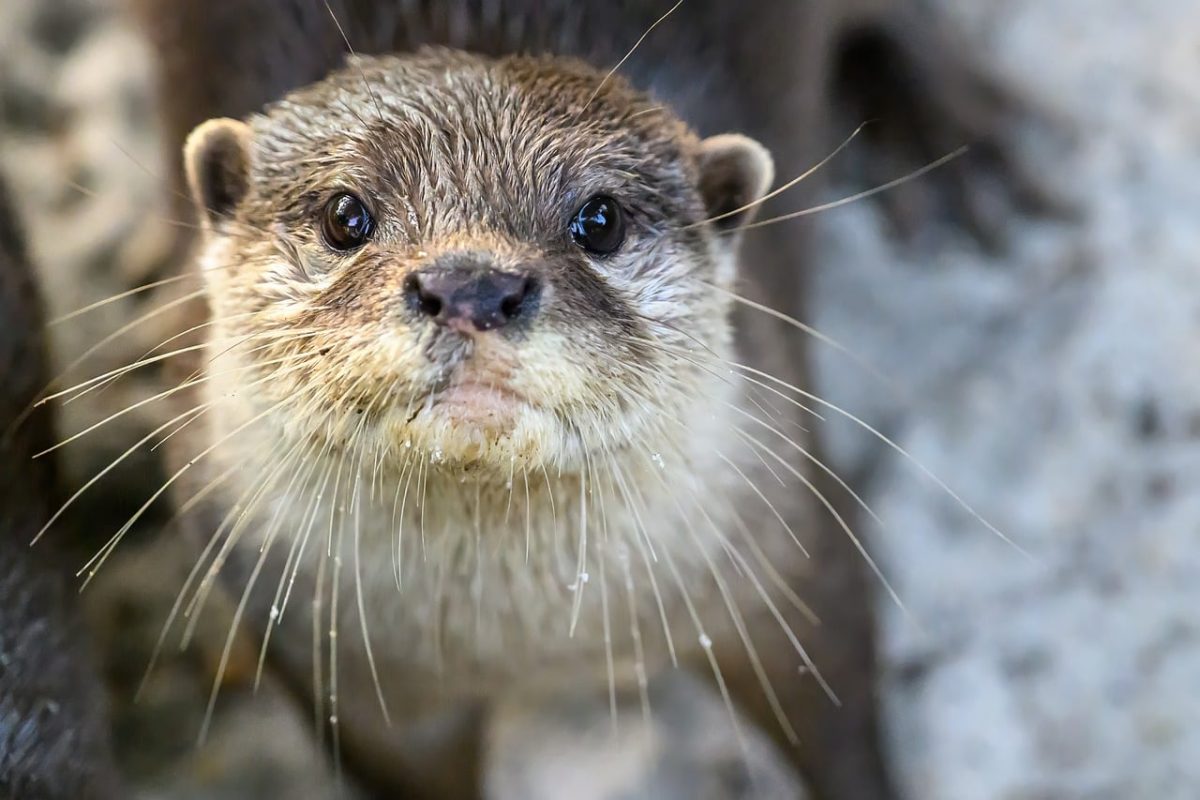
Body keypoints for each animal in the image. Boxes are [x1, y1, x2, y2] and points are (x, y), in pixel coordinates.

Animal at [117, 1, 1029, 797]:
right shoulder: (349, 683)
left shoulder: (795, 547)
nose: (472, 283)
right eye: (347, 215)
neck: (533, 642)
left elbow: (841, 716)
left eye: (600, 219)